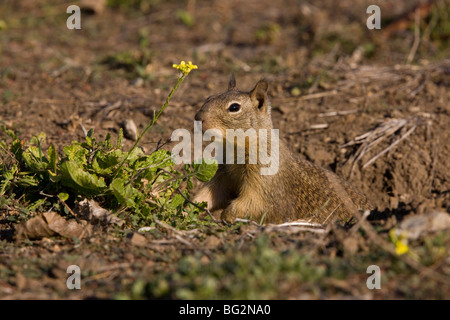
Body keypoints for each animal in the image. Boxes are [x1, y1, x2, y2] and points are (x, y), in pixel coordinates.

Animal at [193, 76, 372, 224]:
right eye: (209, 97)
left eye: (234, 107)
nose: (197, 118)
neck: (236, 148)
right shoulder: (224, 174)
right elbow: (211, 192)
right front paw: (192, 206)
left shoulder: (264, 183)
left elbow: (253, 203)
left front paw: (225, 216)